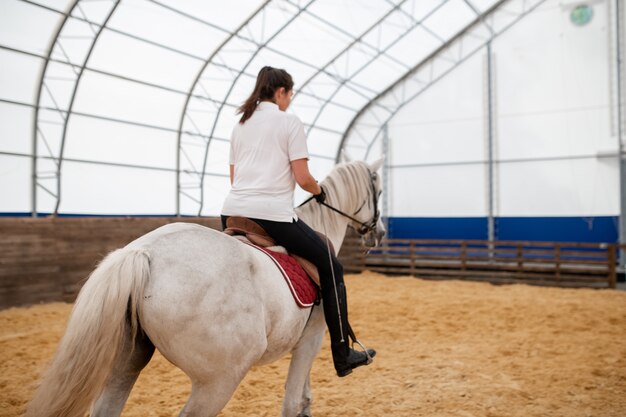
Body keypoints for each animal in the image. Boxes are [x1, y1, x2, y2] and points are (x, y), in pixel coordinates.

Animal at [26, 158, 382, 416]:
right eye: (378, 191)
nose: (378, 234)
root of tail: (144, 253)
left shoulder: (306, 339)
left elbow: (303, 392)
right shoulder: (313, 336)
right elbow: (292, 401)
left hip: (124, 363)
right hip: (218, 381)